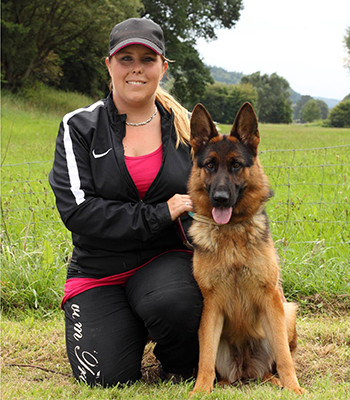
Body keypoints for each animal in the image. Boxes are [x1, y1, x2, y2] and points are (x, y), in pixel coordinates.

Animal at [187, 101, 304, 396]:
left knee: (274, 363)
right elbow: (205, 358)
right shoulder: (211, 306)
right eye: (210, 165)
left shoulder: (271, 299)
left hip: (287, 313)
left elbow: (284, 357)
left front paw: (294, 388)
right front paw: (200, 390)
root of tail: (245, 369)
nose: (220, 198)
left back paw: (276, 380)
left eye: (236, 165)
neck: (231, 235)